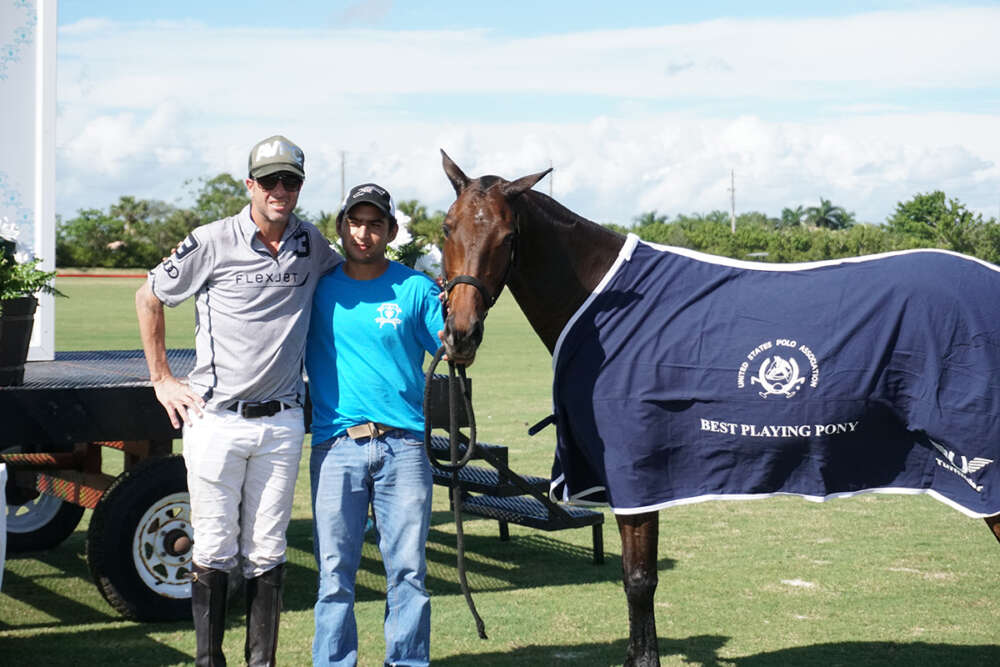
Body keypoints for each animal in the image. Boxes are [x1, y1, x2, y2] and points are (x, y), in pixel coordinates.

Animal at [440, 151, 1000, 667]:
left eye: (508, 237)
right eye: (447, 228)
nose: (461, 334)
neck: (605, 306)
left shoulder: (637, 474)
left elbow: (639, 580)